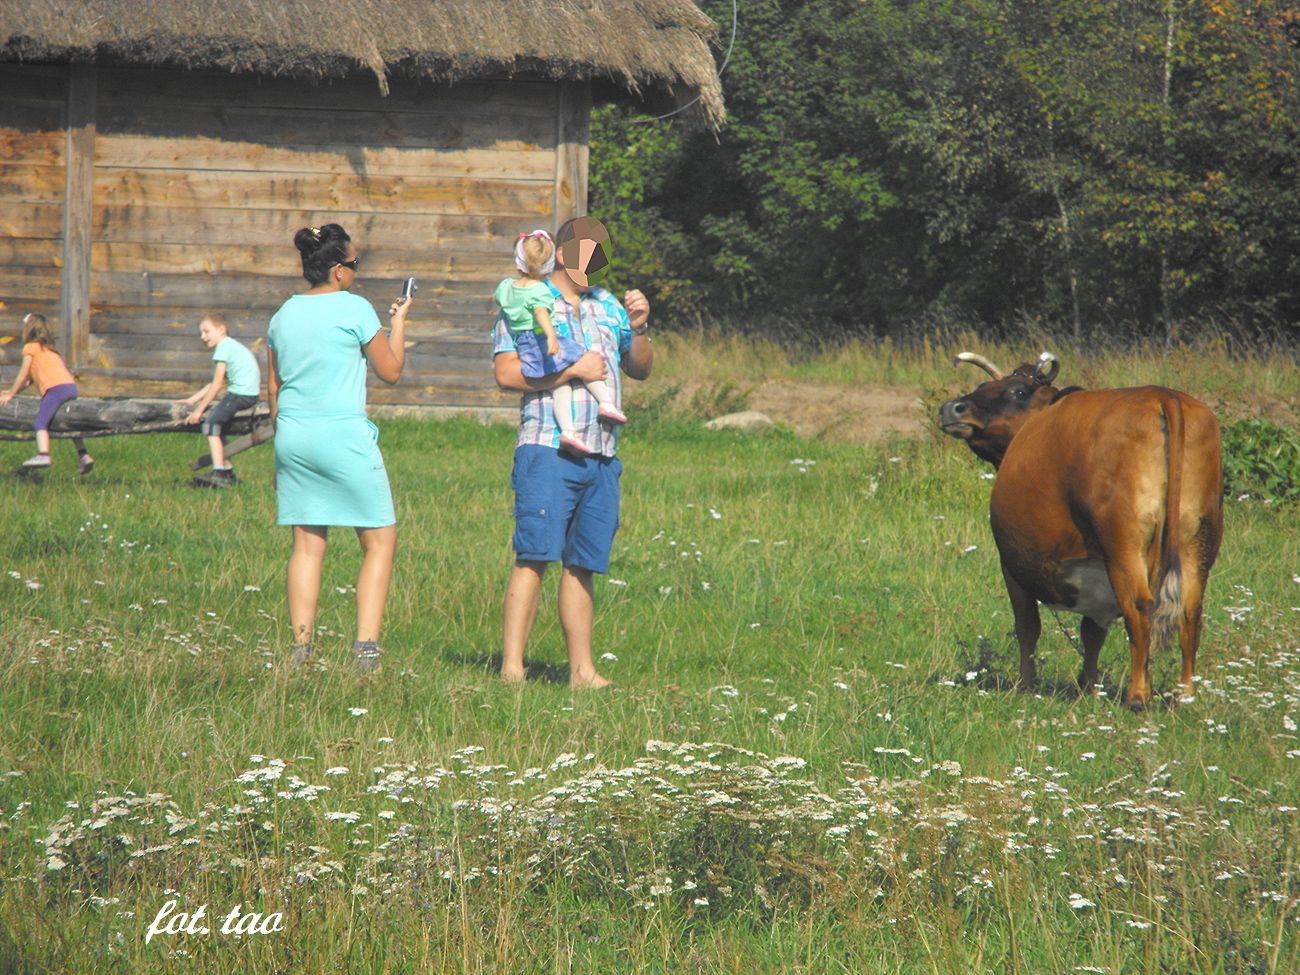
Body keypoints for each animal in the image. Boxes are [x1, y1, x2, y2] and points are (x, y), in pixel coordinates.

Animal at [941, 356, 1222, 707]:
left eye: (1017, 391)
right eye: (982, 386)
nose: (953, 408)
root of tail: (1162, 395)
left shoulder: (1012, 566)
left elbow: (1028, 627)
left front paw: (1027, 685)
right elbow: (1092, 633)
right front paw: (1087, 686)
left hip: (1124, 547)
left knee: (1140, 607)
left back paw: (1137, 696)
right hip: (1197, 543)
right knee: (1190, 611)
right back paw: (1186, 693)